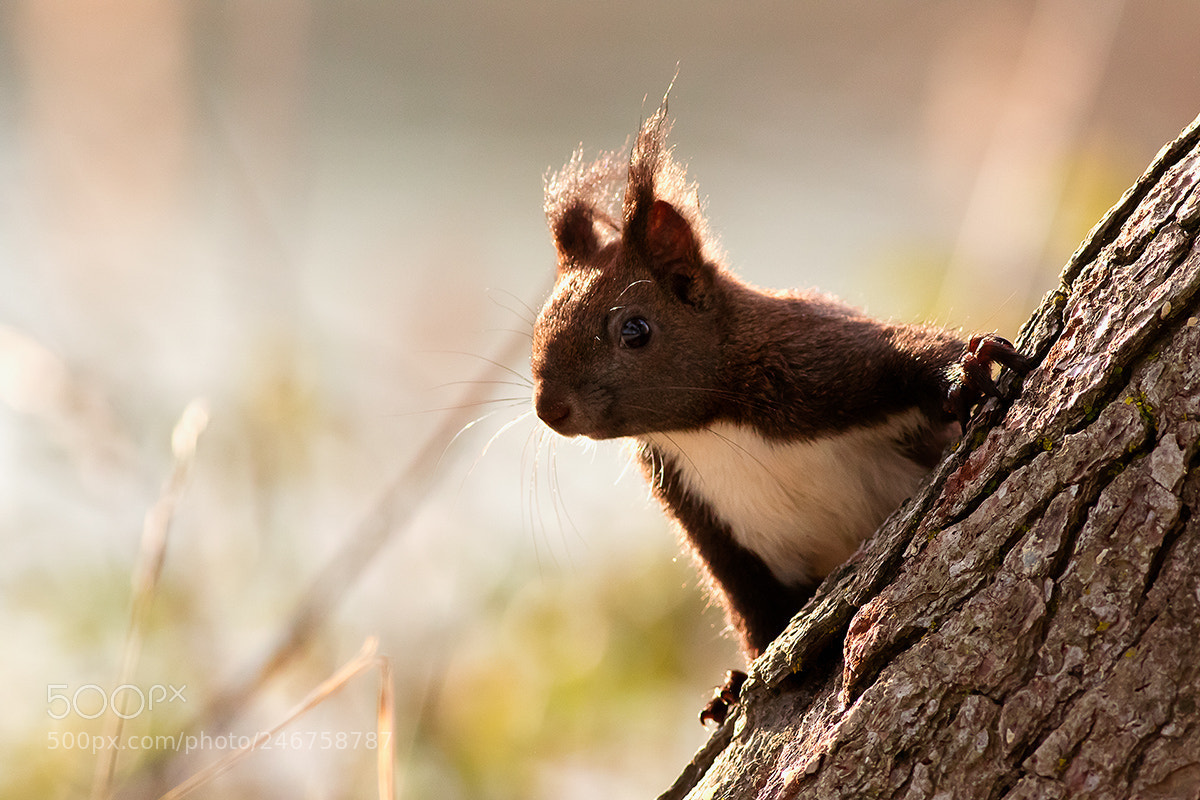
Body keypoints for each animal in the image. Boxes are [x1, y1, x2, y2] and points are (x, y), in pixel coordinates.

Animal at [530, 98, 1031, 724]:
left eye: (635, 330)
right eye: (539, 326)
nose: (550, 408)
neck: (709, 428)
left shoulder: (818, 364)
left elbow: (909, 354)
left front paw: (966, 374)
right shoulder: (706, 520)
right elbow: (753, 606)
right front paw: (733, 685)